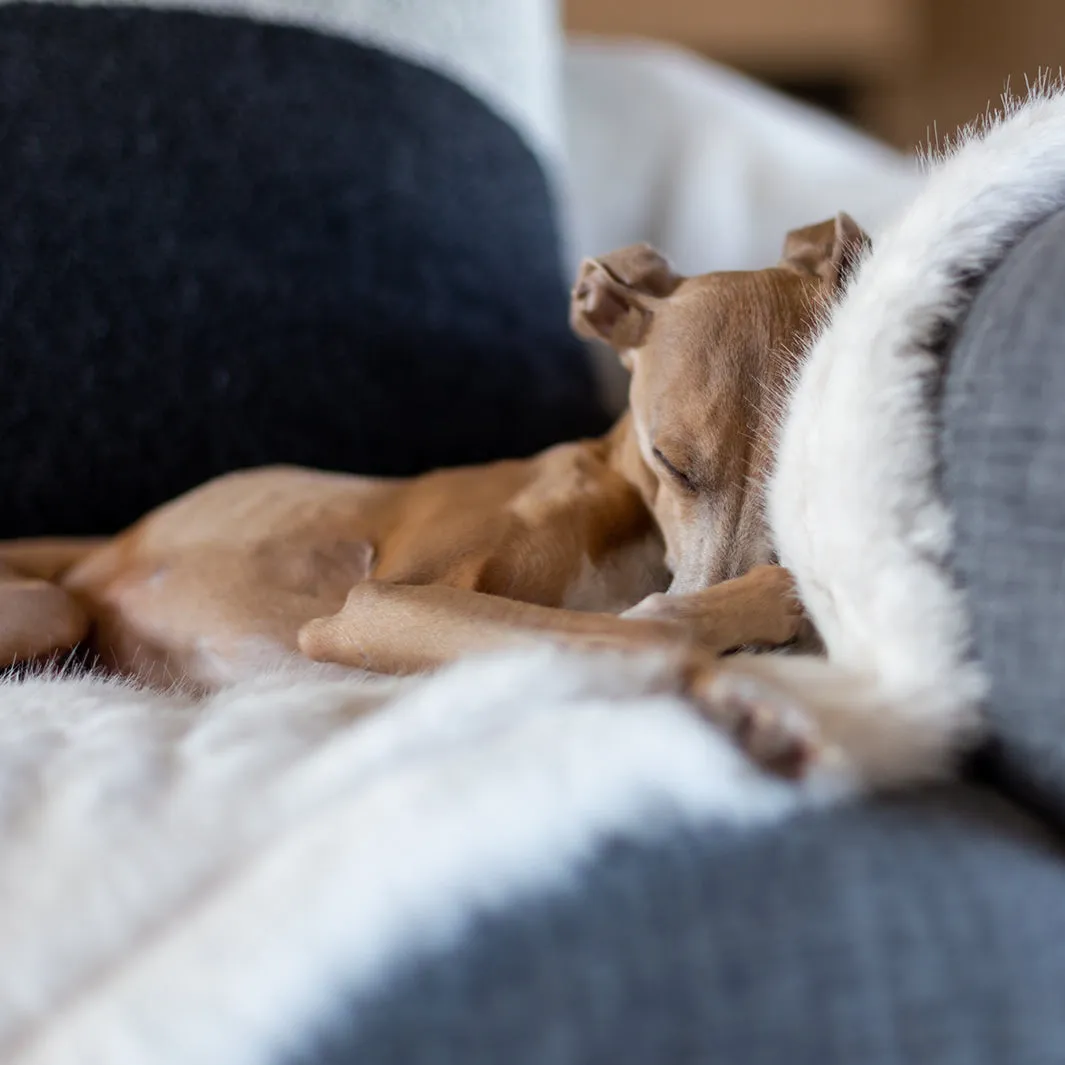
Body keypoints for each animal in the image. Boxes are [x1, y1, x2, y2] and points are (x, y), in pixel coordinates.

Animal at [0, 216, 864, 762]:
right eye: (669, 460)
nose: (772, 655)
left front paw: (740, 698)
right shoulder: (375, 604)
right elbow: (638, 627)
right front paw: (760, 625)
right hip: (47, 605)